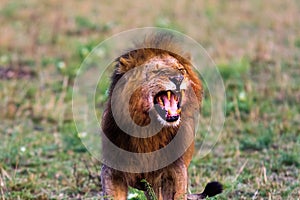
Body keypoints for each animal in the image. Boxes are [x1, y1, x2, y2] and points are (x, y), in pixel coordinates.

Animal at [99, 33, 221, 199]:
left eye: (181, 70)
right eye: (156, 72)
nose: (178, 79)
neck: (147, 131)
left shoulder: (175, 171)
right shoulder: (112, 172)